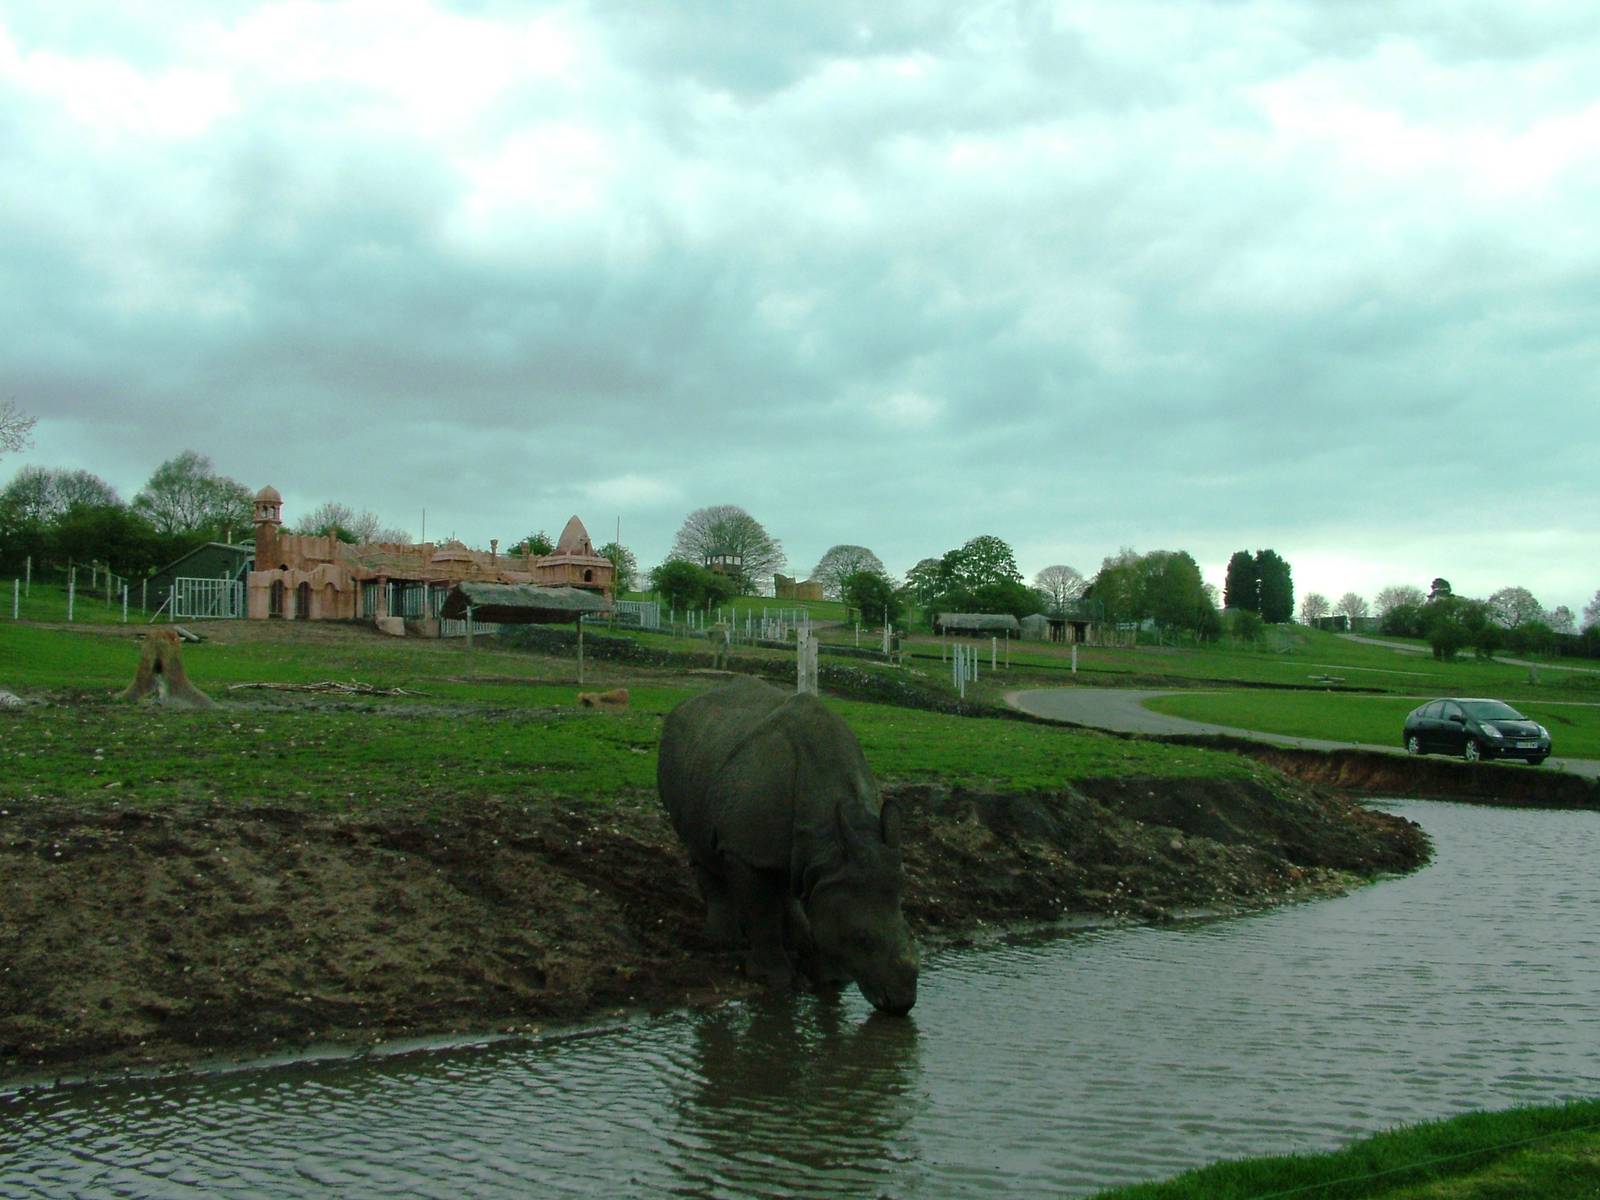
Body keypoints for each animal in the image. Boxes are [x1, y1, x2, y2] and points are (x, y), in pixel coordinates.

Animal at [658, 676, 919, 1015]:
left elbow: (817, 905)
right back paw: (722, 941)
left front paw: (830, 979)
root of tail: (685, 704)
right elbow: (762, 911)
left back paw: (797, 940)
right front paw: (773, 977)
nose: (902, 1004)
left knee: (789, 872)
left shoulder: (831, 868)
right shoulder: (745, 851)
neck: (832, 845)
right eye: (863, 940)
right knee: (700, 849)